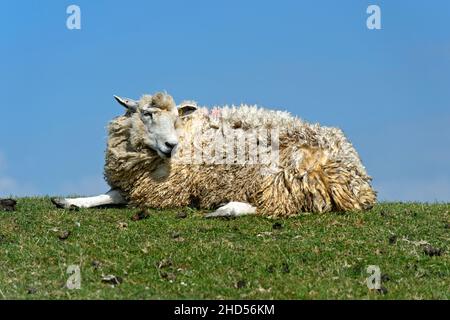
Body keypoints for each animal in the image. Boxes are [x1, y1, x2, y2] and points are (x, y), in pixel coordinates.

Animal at [52, 91, 376, 219]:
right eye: (146, 113)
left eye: (175, 117)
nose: (170, 145)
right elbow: (111, 193)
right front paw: (71, 202)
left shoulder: (164, 190)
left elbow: (119, 196)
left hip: (283, 177)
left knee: (277, 207)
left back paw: (226, 209)